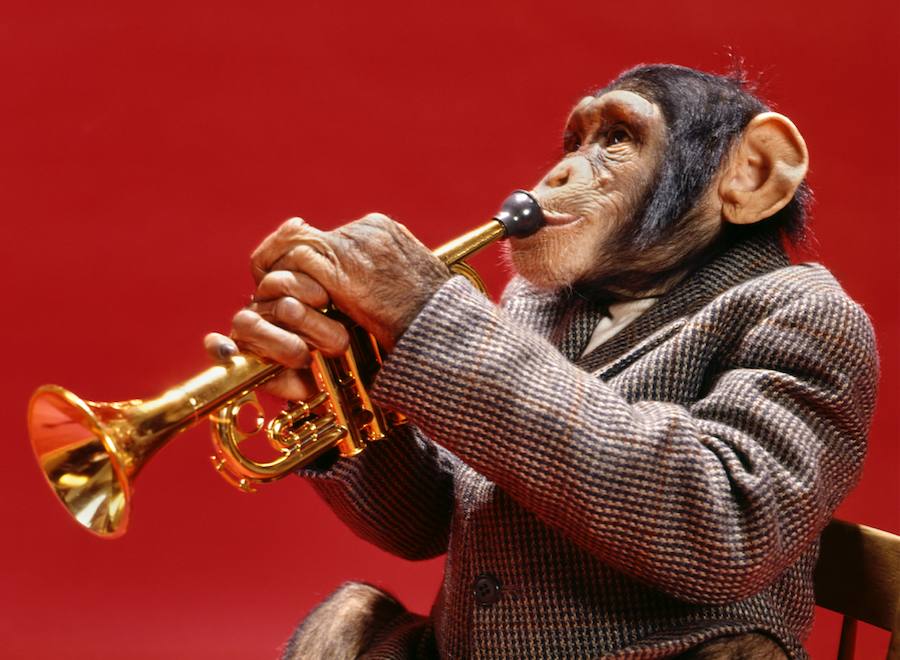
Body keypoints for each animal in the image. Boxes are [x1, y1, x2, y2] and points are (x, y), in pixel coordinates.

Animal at [206, 64, 877, 659]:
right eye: (577, 141)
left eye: (617, 139)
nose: (553, 177)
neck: (642, 290)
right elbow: (425, 513)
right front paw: (288, 333)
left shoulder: (821, 332)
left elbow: (724, 497)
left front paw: (384, 268)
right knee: (347, 607)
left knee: (738, 641)